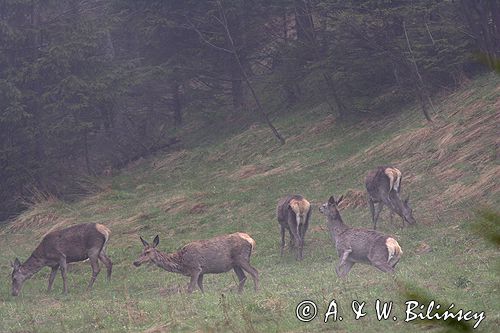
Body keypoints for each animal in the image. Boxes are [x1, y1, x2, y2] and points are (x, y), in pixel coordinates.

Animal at [131, 231, 260, 294]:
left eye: (147, 252)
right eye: (141, 251)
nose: (135, 262)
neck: (181, 262)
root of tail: (250, 239)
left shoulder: (195, 268)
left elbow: (190, 289)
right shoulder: (201, 271)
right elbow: (200, 286)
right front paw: (205, 297)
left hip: (241, 258)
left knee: (255, 272)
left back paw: (256, 292)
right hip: (235, 264)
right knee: (243, 277)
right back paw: (239, 294)